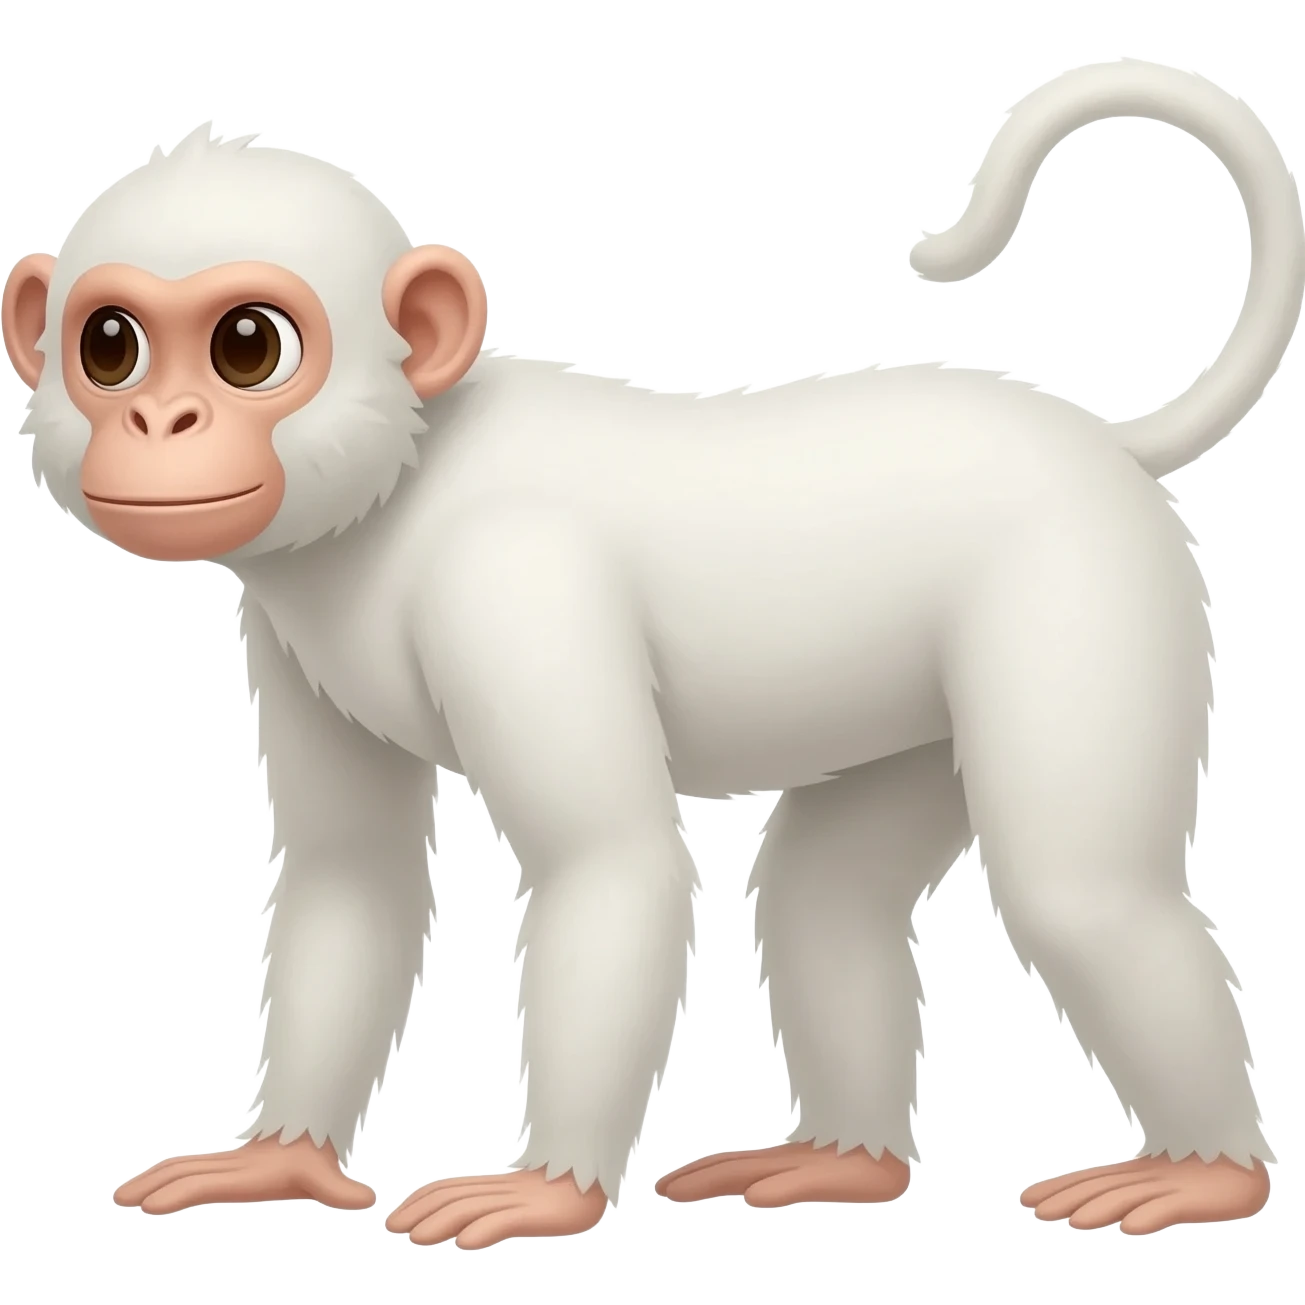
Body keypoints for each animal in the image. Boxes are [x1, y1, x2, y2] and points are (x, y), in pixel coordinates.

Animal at [4, 56, 1298, 1248]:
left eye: (247, 347)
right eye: (109, 346)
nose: (158, 421)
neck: (397, 479)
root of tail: (1109, 449)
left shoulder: (509, 585)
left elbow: (609, 861)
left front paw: (549, 1191)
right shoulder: (278, 627)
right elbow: (352, 875)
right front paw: (278, 1161)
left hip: (1081, 594)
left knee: (1080, 893)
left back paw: (1210, 1175)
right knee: (826, 891)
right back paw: (842, 1162)